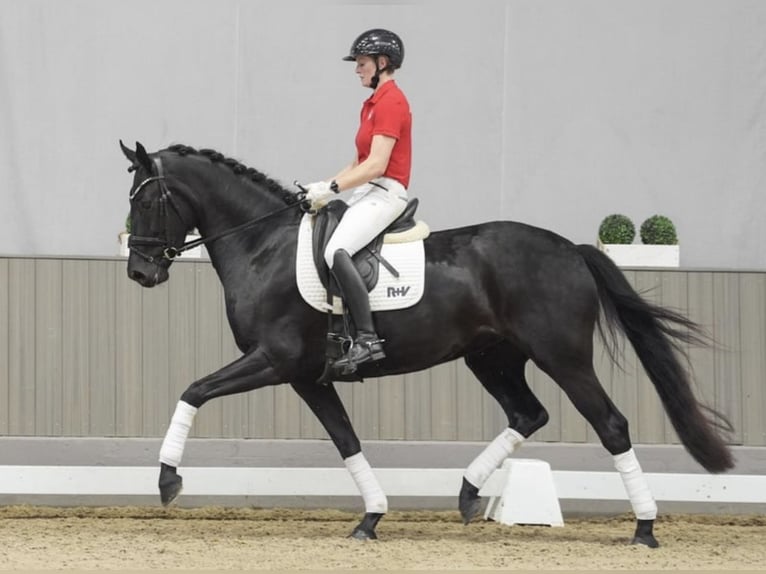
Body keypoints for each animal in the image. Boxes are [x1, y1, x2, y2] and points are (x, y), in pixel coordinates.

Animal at [121, 142, 736, 548]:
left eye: (146, 201)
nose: (140, 273)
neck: (262, 245)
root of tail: (570, 249)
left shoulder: (273, 359)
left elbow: (193, 390)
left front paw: (168, 480)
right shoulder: (305, 375)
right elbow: (346, 440)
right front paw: (371, 517)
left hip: (562, 357)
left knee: (610, 425)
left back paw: (645, 528)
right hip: (492, 357)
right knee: (527, 413)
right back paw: (467, 492)